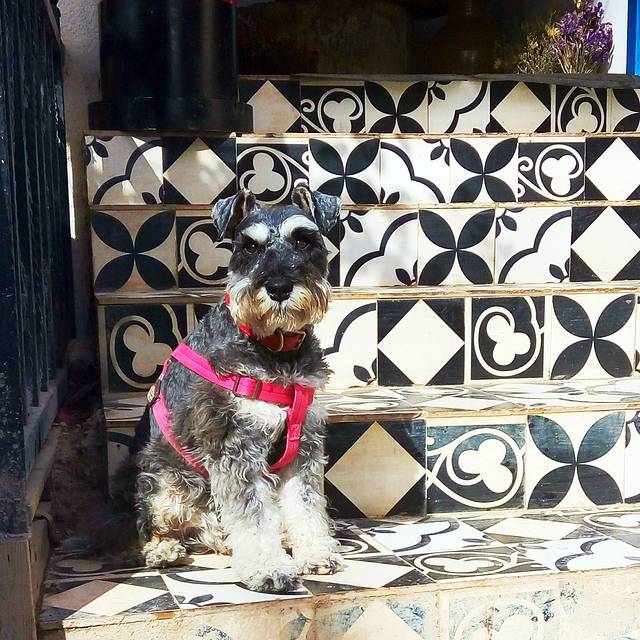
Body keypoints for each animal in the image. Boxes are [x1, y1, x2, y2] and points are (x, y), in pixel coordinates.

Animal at [116, 183, 344, 593]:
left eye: (304, 240)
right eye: (249, 246)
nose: (279, 287)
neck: (276, 348)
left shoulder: (304, 445)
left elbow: (305, 503)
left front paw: (316, 552)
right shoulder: (234, 448)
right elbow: (252, 514)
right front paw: (267, 568)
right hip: (160, 481)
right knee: (153, 525)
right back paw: (163, 550)